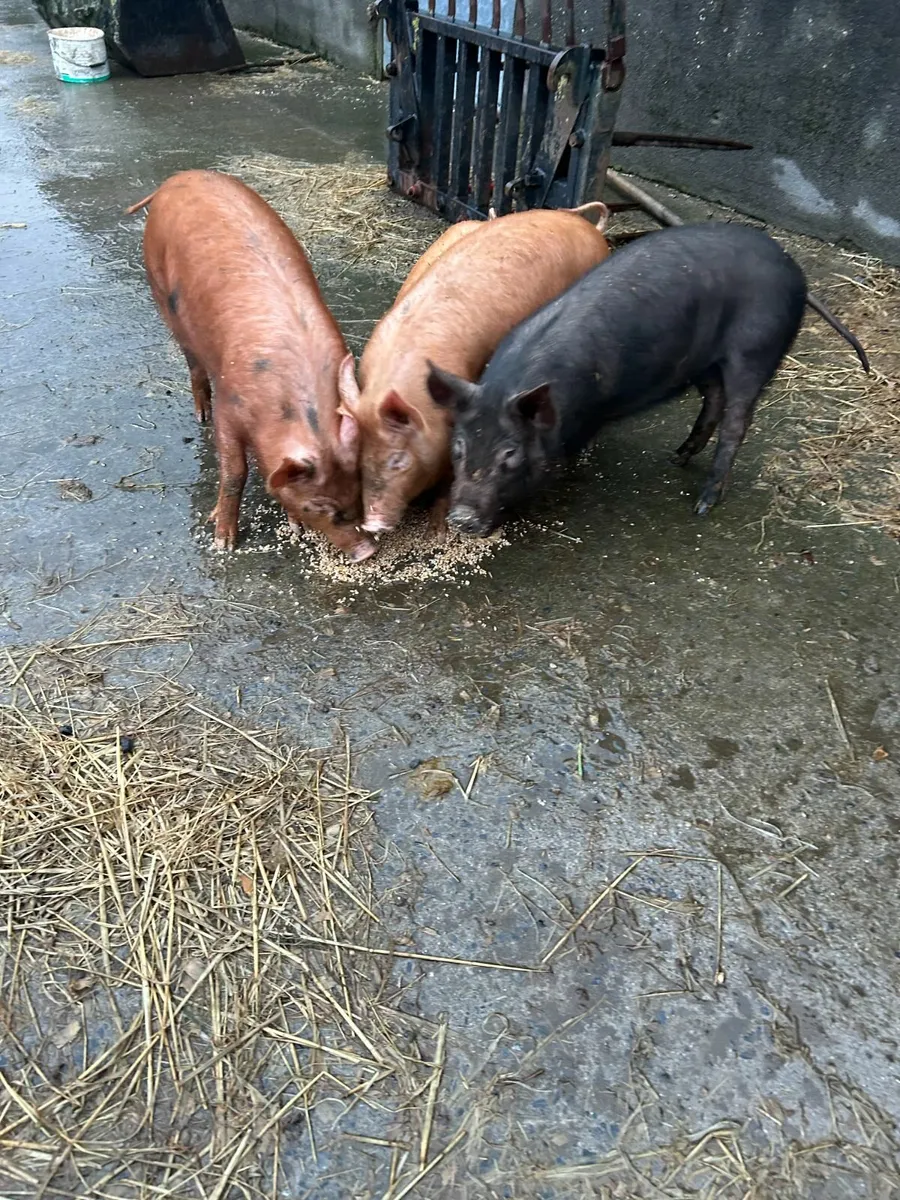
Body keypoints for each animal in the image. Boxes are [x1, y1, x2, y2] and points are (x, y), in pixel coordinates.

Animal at [126, 169, 374, 560]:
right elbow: (234, 472)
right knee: (193, 364)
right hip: (162, 294)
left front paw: (294, 527)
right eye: (318, 506)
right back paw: (200, 415)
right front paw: (223, 541)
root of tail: (174, 180)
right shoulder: (231, 406)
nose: (367, 551)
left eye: (357, 493)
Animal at [425, 221, 870, 535]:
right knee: (714, 398)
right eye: (458, 447)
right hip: (702, 360)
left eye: (510, 454)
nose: (461, 519)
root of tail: (790, 264)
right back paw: (678, 457)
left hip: (756, 349)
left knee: (737, 421)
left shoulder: (581, 423)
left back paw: (703, 504)